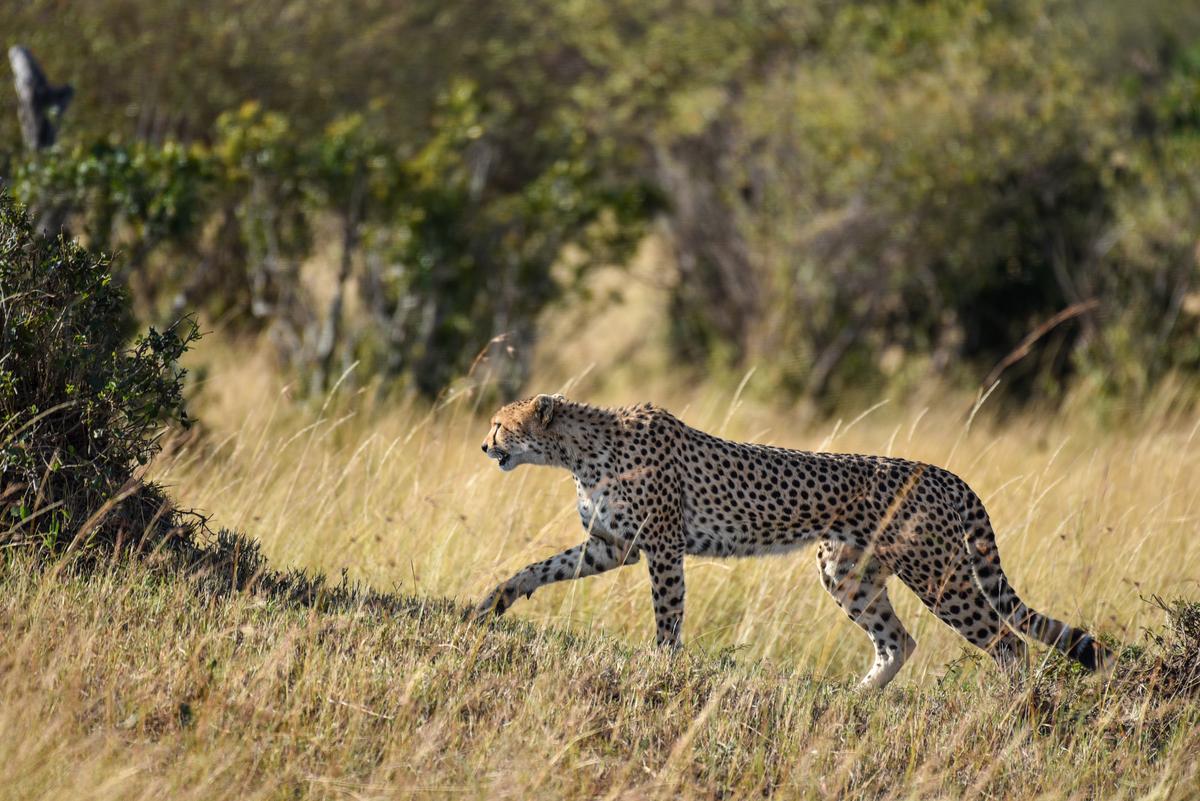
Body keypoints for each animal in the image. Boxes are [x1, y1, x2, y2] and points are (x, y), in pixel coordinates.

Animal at [470, 393, 1113, 690]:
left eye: (501, 423)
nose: (484, 446)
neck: (578, 451)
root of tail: (939, 470)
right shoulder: (611, 545)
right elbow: (538, 568)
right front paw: (491, 603)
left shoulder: (662, 548)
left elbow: (668, 616)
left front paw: (662, 670)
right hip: (846, 573)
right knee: (898, 640)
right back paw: (857, 698)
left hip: (938, 576)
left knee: (1009, 643)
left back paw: (1009, 711)